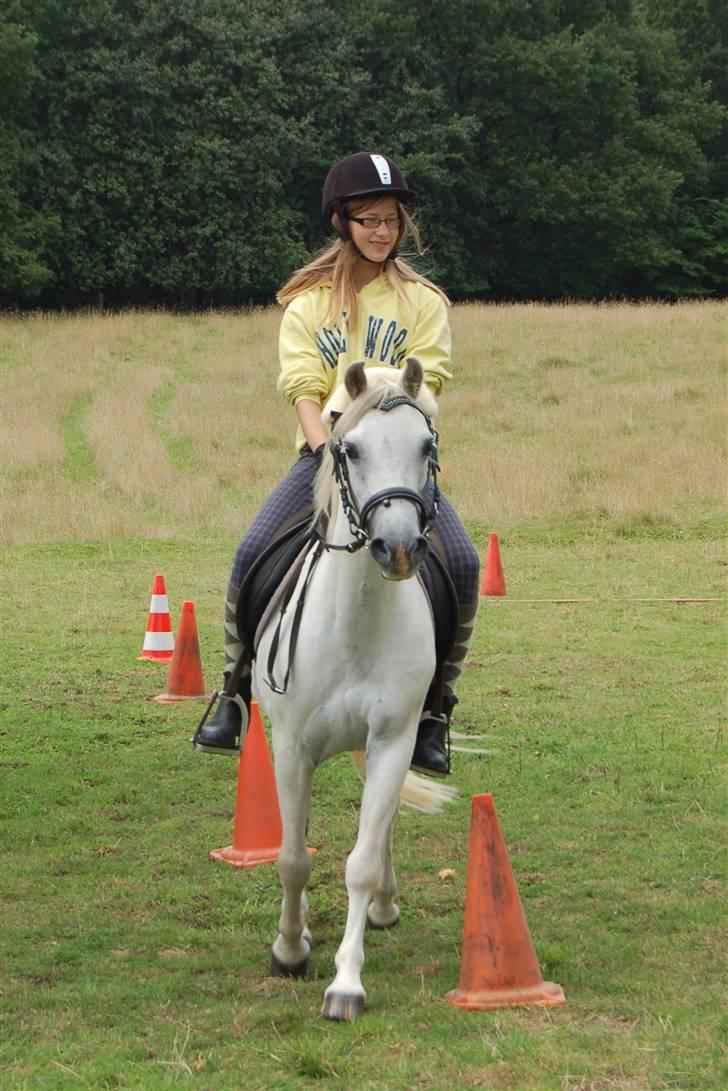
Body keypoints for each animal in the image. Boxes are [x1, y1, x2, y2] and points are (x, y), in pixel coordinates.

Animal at [253, 356, 444, 1021]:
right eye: (350, 448)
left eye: (426, 446)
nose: (399, 548)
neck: (356, 625)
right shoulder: (290, 750)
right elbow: (291, 858)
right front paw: (289, 950)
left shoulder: (392, 741)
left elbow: (359, 860)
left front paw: (346, 984)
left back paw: (384, 904)